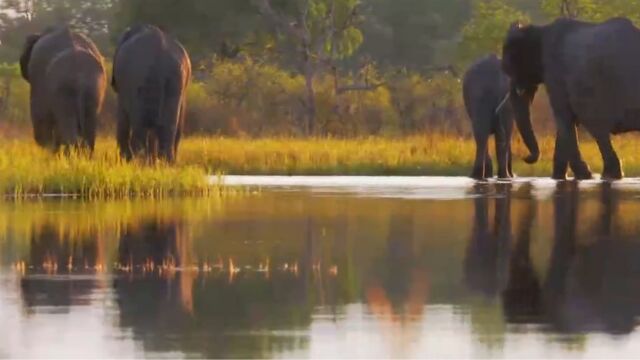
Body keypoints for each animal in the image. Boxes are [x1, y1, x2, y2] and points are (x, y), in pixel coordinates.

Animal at [112, 23, 192, 162]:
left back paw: (139, 162)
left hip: (137, 78)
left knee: (140, 128)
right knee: (167, 128)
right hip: (175, 78)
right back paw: (165, 163)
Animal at [502, 16, 640, 180]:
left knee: (597, 129)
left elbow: (564, 119)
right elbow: (566, 123)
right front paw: (558, 178)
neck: (540, 30)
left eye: (509, 68)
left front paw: (585, 176)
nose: (526, 158)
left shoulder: (555, 74)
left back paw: (608, 175)